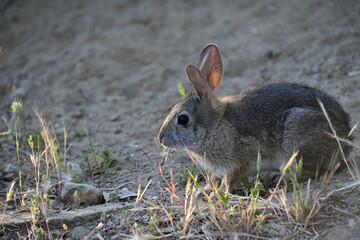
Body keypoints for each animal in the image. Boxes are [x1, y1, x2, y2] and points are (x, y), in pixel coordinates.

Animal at [158, 43, 352, 193]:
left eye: (183, 119)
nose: (161, 139)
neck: (215, 126)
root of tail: (346, 142)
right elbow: (213, 179)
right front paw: (202, 191)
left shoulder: (237, 163)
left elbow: (229, 181)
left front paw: (217, 194)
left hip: (297, 136)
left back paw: (279, 178)